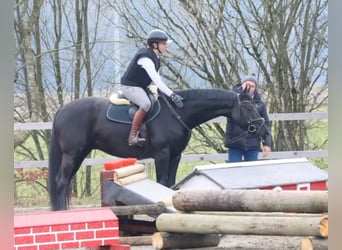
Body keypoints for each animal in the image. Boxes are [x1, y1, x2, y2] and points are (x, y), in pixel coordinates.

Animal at [48, 88, 268, 211]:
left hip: (78, 155)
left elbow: (169, 184)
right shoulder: (162, 154)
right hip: (72, 154)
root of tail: (62, 110)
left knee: (64, 182)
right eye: (248, 107)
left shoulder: (175, 156)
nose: (263, 129)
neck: (177, 113)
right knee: (61, 182)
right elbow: (162, 182)